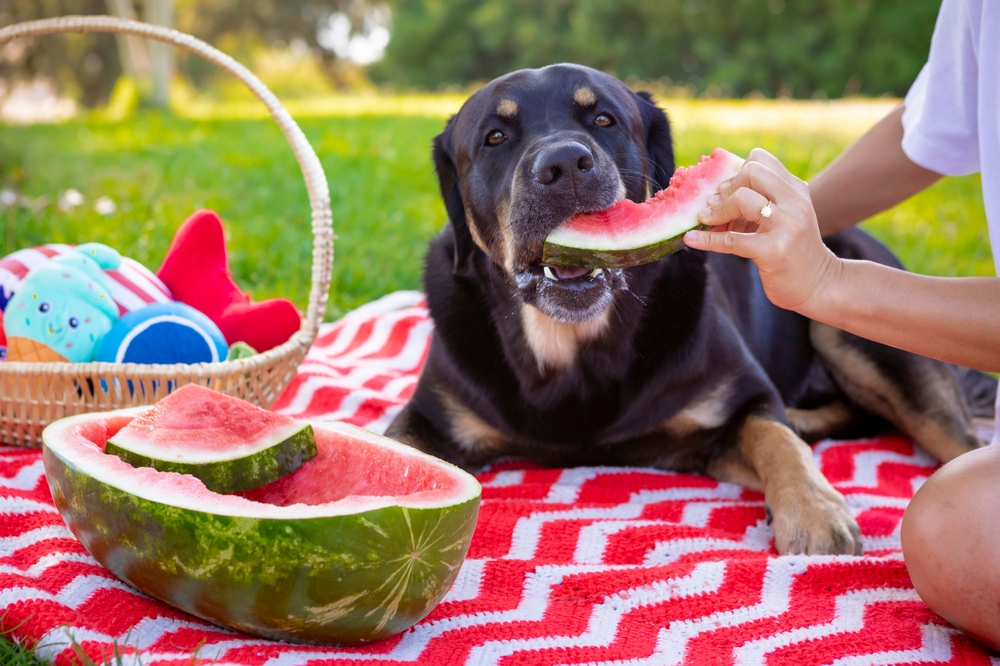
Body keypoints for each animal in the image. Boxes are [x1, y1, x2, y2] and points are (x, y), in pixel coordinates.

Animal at [384, 63, 992, 556]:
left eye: (603, 120)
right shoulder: (429, 419)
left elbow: (777, 438)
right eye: (495, 137)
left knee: (958, 442)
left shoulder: (738, 407)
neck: (574, 354)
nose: (565, 163)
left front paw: (815, 509)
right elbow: (393, 454)